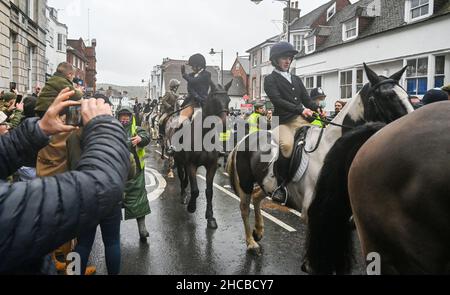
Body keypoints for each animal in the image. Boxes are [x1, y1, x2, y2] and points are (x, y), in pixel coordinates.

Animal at [170, 82, 230, 230]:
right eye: (214, 100)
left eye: (228, 100)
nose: (224, 125)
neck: (204, 134)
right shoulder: (191, 165)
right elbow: (196, 190)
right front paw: (192, 207)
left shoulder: (211, 166)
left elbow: (209, 191)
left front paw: (210, 217)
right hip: (179, 161)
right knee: (182, 176)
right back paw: (183, 195)